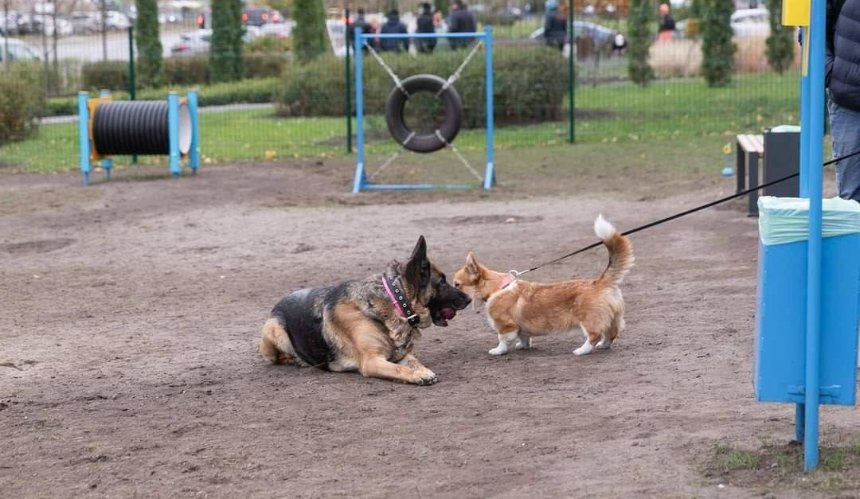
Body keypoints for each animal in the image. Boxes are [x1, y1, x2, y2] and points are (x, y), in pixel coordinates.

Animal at [258, 236, 470, 384]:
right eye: (442, 282)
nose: (469, 299)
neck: (394, 302)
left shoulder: (402, 354)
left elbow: (415, 361)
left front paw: (422, 370)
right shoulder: (372, 361)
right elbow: (399, 369)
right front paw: (416, 376)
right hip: (275, 329)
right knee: (279, 357)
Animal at [454, 216, 636, 360]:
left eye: (457, 284)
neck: (498, 287)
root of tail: (601, 282)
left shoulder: (506, 326)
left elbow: (503, 340)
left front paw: (498, 351)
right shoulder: (521, 328)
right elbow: (524, 338)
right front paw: (523, 346)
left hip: (588, 320)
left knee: (594, 336)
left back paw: (581, 351)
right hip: (613, 318)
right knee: (611, 334)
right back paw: (603, 346)